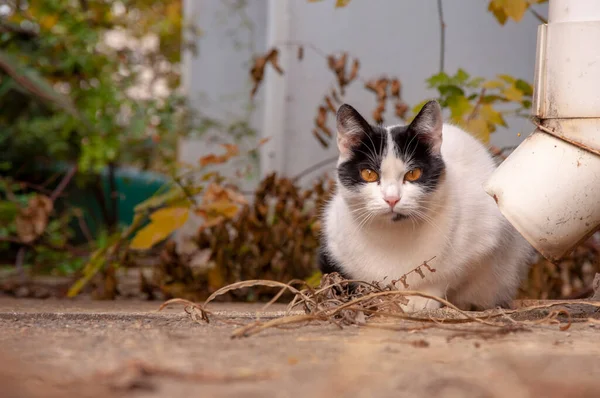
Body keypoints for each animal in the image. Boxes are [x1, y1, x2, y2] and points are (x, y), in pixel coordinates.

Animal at [318, 98, 536, 310]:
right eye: (369, 174)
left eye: (413, 173)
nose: (392, 198)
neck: (394, 238)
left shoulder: (484, 237)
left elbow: (449, 276)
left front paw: (421, 298)